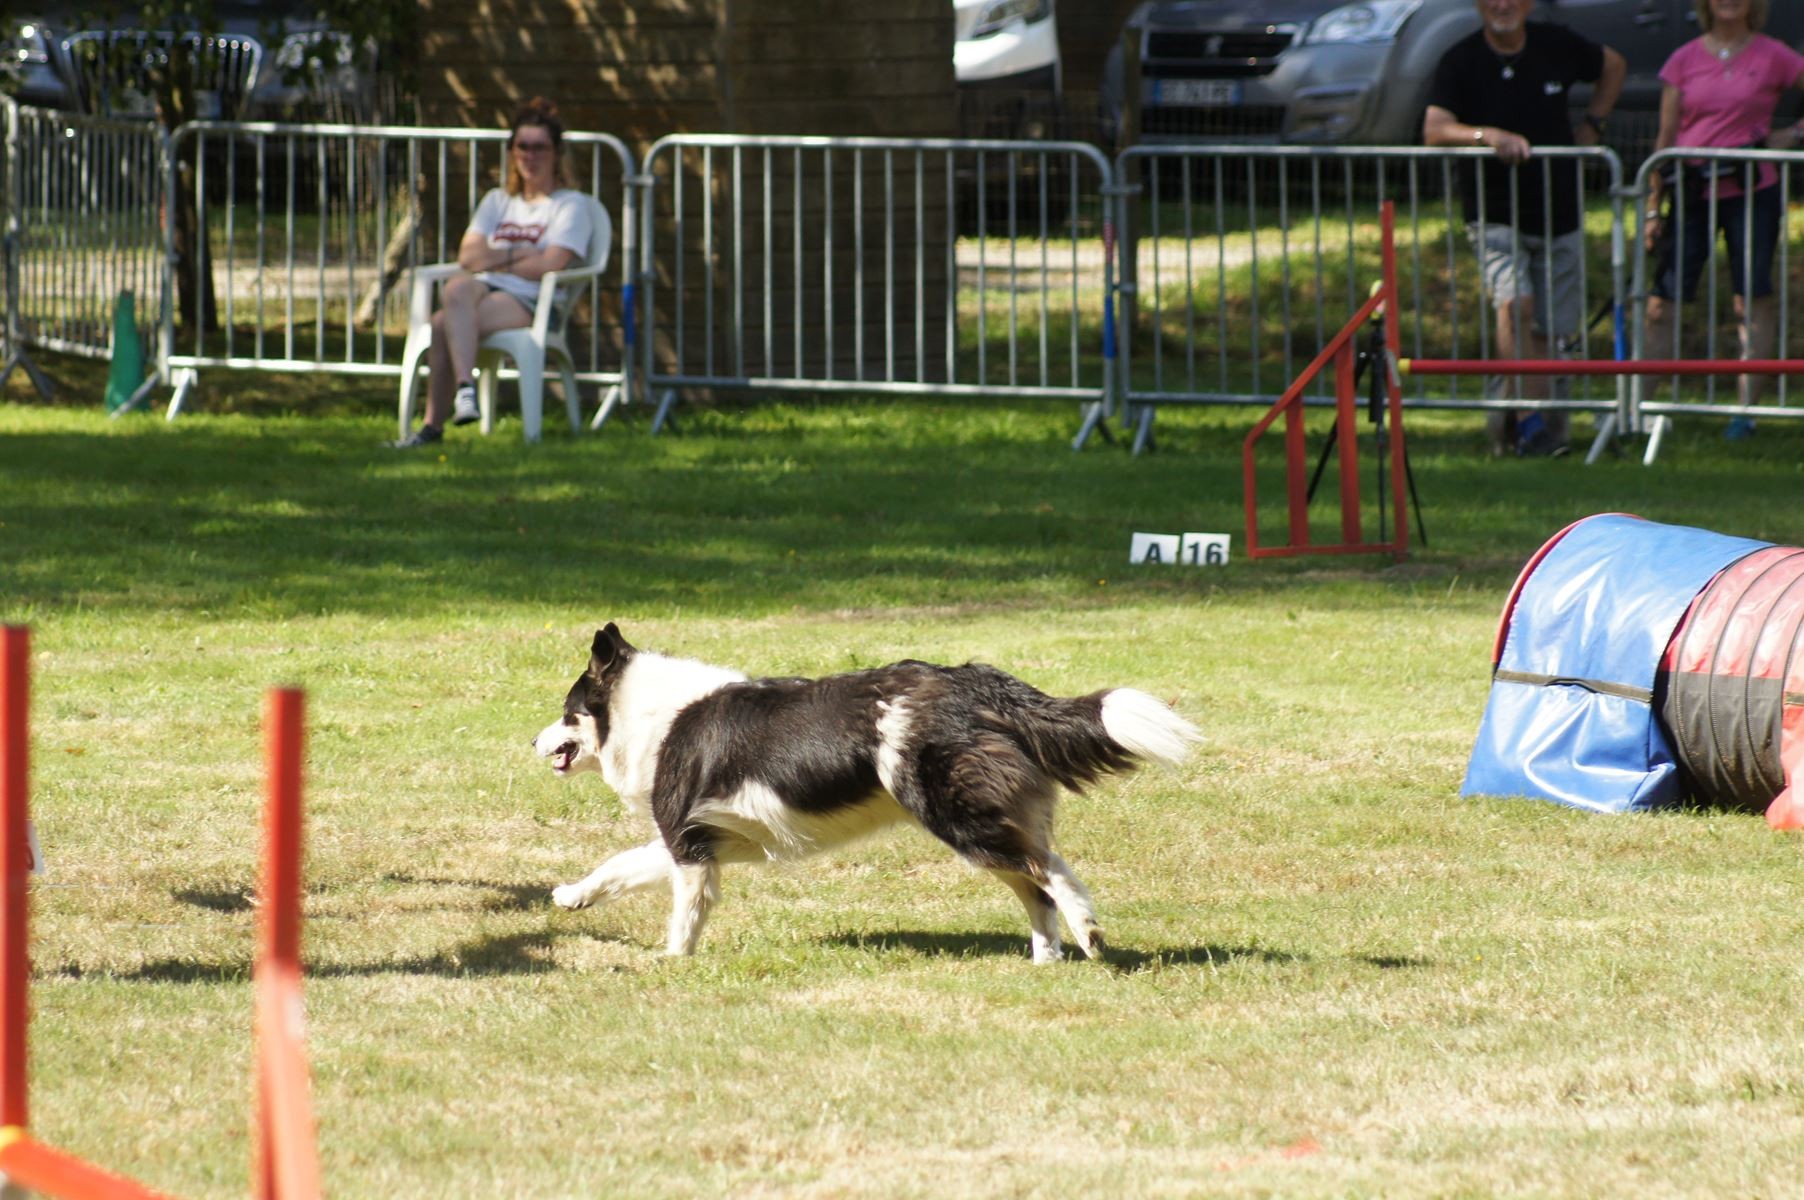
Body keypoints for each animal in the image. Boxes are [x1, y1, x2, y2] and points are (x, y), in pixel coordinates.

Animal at [530, 620, 1197, 960]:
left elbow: (682, 911)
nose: (533, 743)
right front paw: (572, 897)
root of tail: (978, 682)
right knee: (1034, 885)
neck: (649, 714)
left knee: (1050, 870)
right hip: (983, 824)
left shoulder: (690, 843)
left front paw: (674, 961)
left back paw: (1088, 932)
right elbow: (619, 865)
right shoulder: (699, 838)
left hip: (958, 816)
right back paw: (1045, 959)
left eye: (566, 714)